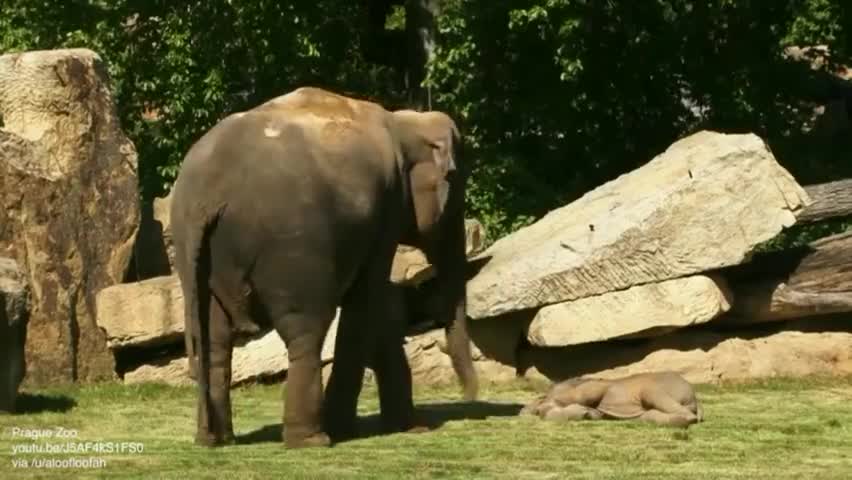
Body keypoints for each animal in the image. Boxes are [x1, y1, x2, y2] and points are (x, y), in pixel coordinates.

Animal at [171, 87, 480, 450]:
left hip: (193, 255)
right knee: (306, 329)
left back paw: (216, 440)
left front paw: (408, 426)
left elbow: (379, 305)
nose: (471, 396)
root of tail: (206, 194)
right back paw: (312, 440)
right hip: (292, 250)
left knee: (213, 337)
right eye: (456, 189)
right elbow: (368, 298)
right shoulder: (386, 208)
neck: (404, 120)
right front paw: (355, 429)